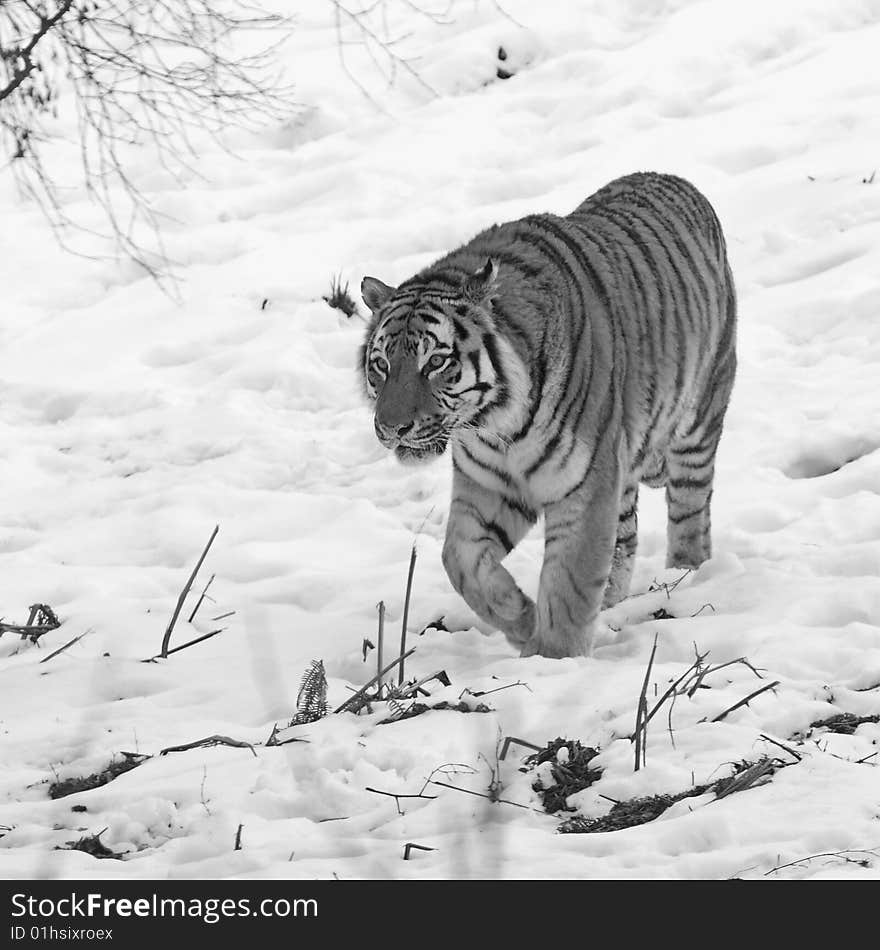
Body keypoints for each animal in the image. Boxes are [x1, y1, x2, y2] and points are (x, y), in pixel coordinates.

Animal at [358, 171, 736, 660]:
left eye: (436, 362)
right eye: (382, 365)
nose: (392, 428)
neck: (495, 425)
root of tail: (672, 177)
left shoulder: (586, 483)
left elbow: (570, 580)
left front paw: (552, 658)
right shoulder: (489, 483)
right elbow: (460, 560)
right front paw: (522, 619)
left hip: (698, 421)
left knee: (690, 512)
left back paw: (685, 576)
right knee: (626, 538)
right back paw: (611, 603)